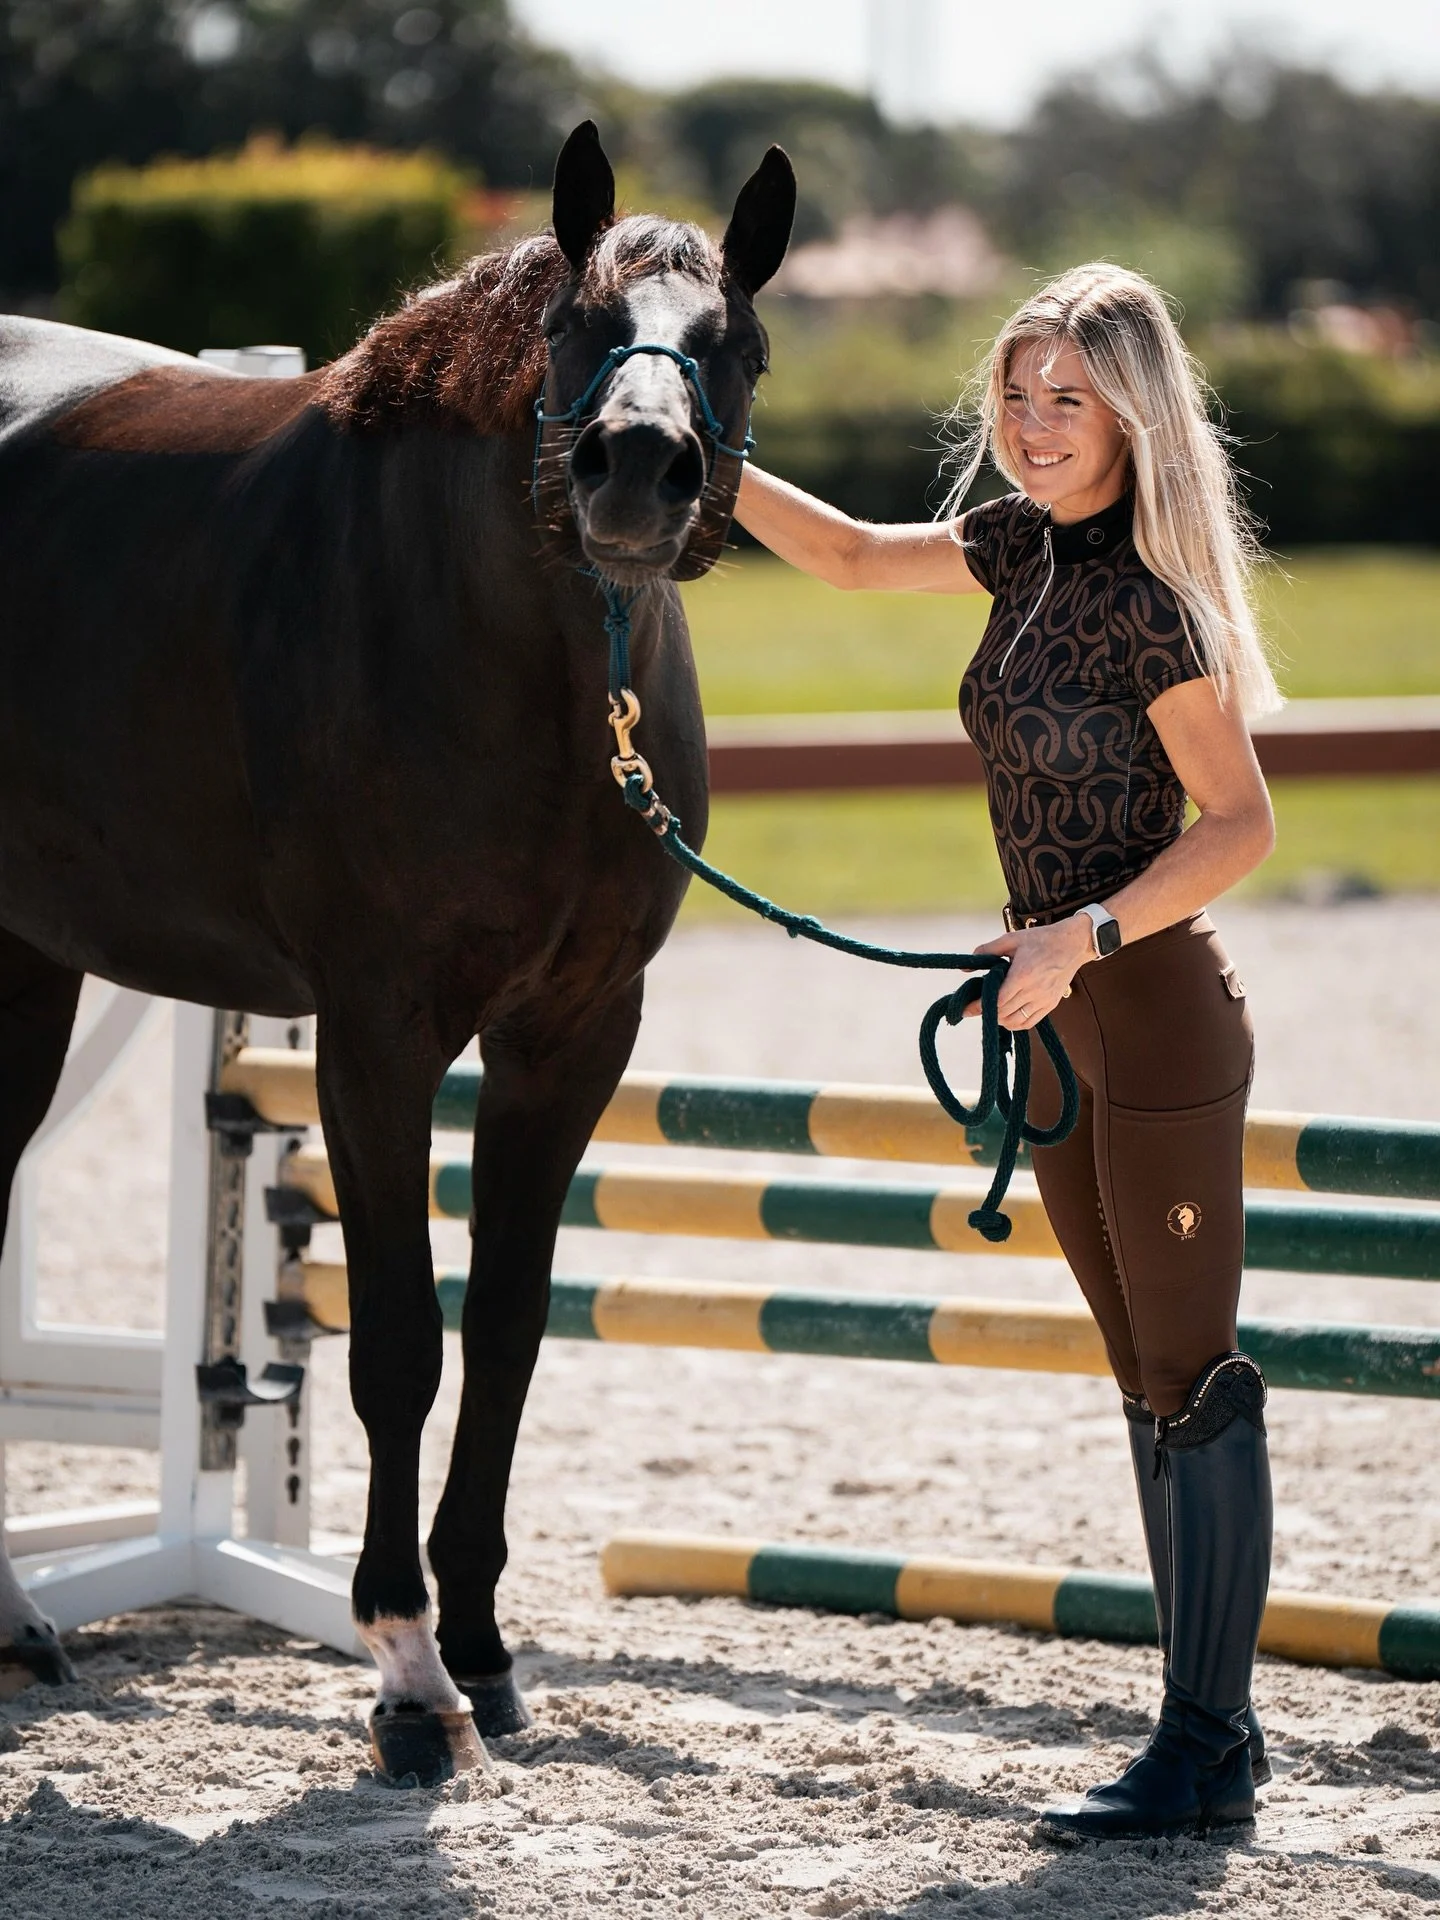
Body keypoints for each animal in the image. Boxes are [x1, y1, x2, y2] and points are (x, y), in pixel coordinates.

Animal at [0, 120, 796, 1784]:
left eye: (736, 342)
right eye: (572, 324)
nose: (638, 471)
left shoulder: (573, 1034)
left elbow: (504, 1332)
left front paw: (483, 1649)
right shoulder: (376, 1039)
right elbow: (397, 1349)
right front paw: (409, 1676)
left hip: (25, 968)